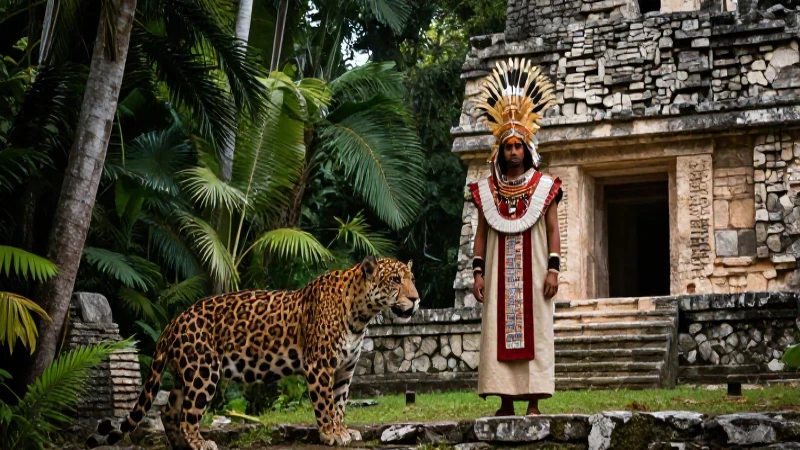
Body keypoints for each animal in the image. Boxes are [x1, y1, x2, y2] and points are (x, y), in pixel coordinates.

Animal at [86, 256, 419, 450]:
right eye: (394, 280)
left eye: (411, 279)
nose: (416, 299)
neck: (361, 315)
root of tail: (174, 321)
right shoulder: (320, 366)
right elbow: (325, 405)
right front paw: (330, 435)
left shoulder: (344, 370)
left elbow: (339, 404)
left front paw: (343, 431)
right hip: (203, 371)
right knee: (187, 413)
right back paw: (199, 442)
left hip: (186, 372)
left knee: (169, 410)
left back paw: (180, 444)